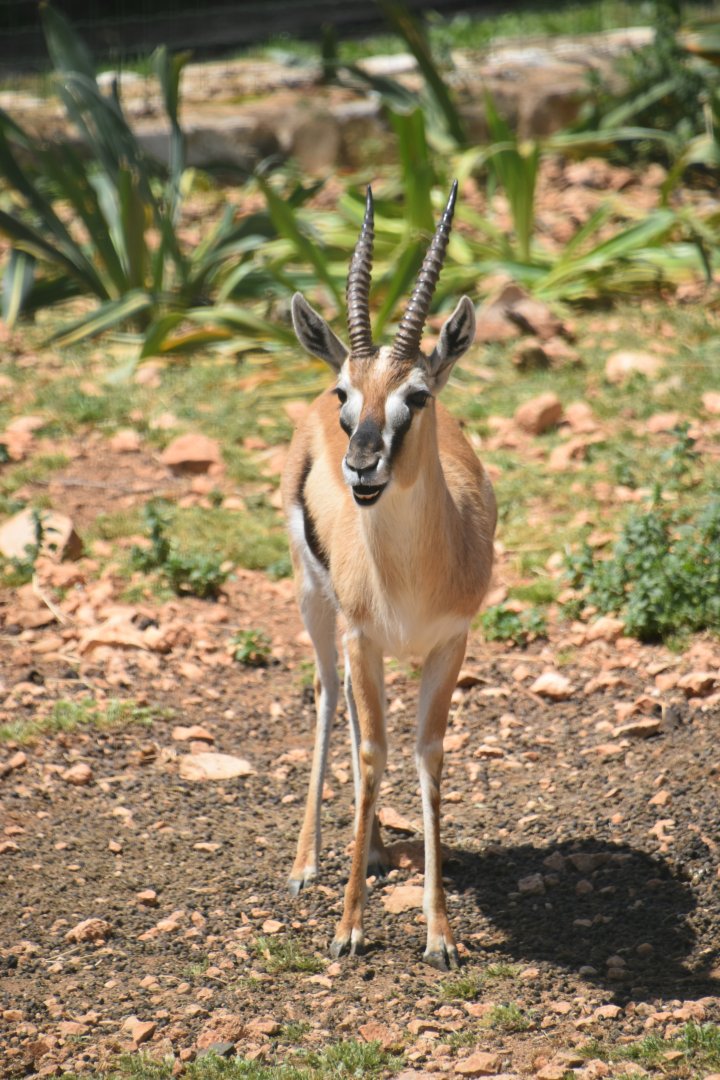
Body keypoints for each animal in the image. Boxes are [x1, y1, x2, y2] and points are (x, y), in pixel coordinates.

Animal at [281, 181, 496, 970]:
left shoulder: (449, 644)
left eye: (419, 395)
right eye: (347, 393)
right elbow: (374, 756)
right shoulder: (361, 635)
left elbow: (426, 759)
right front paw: (348, 928)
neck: (409, 576)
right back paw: (308, 863)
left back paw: (371, 850)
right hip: (317, 610)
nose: (363, 465)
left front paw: (440, 936)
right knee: (328, 699)